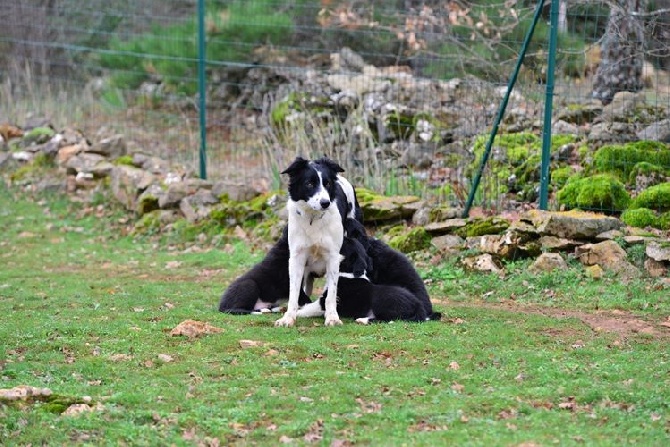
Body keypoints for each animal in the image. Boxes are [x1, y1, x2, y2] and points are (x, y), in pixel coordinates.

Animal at [276, 158, 360, 328]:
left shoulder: (333, 257)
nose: (325, 203)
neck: (312, 217)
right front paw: (288, 318)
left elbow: (331, 293)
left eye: (327, 184)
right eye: (309, 183)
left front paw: (332, 317)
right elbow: (294, 291)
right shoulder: (297, 257)